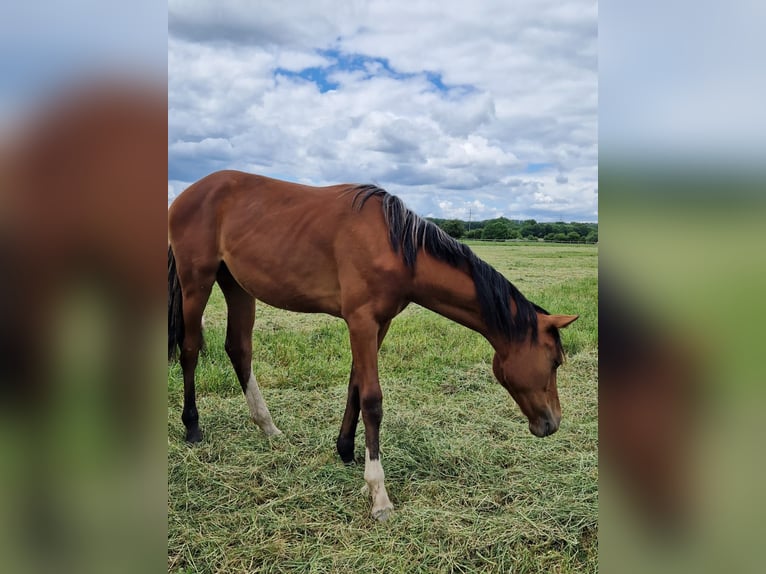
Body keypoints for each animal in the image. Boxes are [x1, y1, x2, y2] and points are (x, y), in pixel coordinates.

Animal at [168, 170, 576, 520]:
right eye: (555, 361)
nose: (552, 422)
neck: (397, 248)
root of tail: (189, 193)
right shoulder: (361, 322)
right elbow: (373, 400)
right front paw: (378, 492)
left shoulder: (378, 325)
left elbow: (355, 385)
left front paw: (346, 450)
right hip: (197, 281)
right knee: (189, 350)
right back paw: (192, 427)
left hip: (236, 285)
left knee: (239, 349)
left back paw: (268, 427)